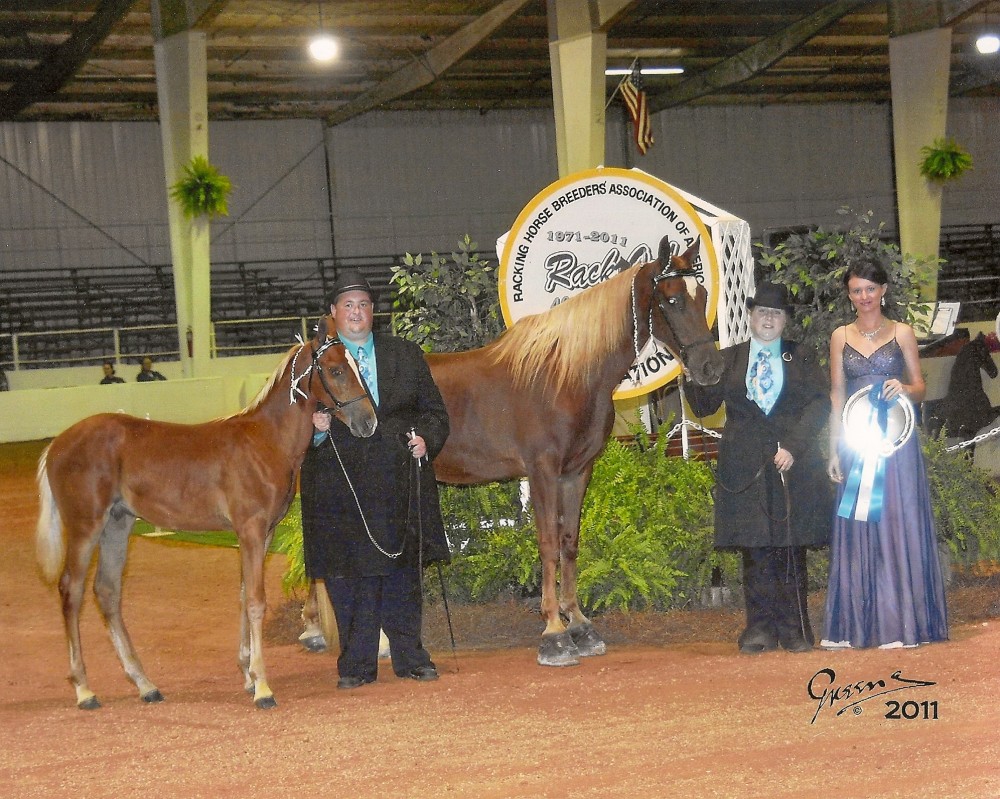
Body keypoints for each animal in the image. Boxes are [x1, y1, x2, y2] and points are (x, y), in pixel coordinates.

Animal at [36, 316, 377, 710]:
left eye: (356, 365)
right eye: (335, 370)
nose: (369, 422)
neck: (265, 441)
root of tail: (57, 444)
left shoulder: (264, 533)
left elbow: (244, 596)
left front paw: (247, 674)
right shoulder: (251, 529)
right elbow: (256, 601)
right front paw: (262, 687)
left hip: (117, 525)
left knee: (106, 592)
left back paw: (145, 685)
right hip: (85, 527)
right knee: (71, 591)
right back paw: (84, 689)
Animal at [302, 235, 724, 666]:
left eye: (702, 293)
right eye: (672, 299)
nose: (711, 368)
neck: (565, 373)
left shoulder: (577, 471)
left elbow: (569, 543)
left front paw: (580, 626)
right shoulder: (542, 472)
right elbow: (548, 545)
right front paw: (554, 633)